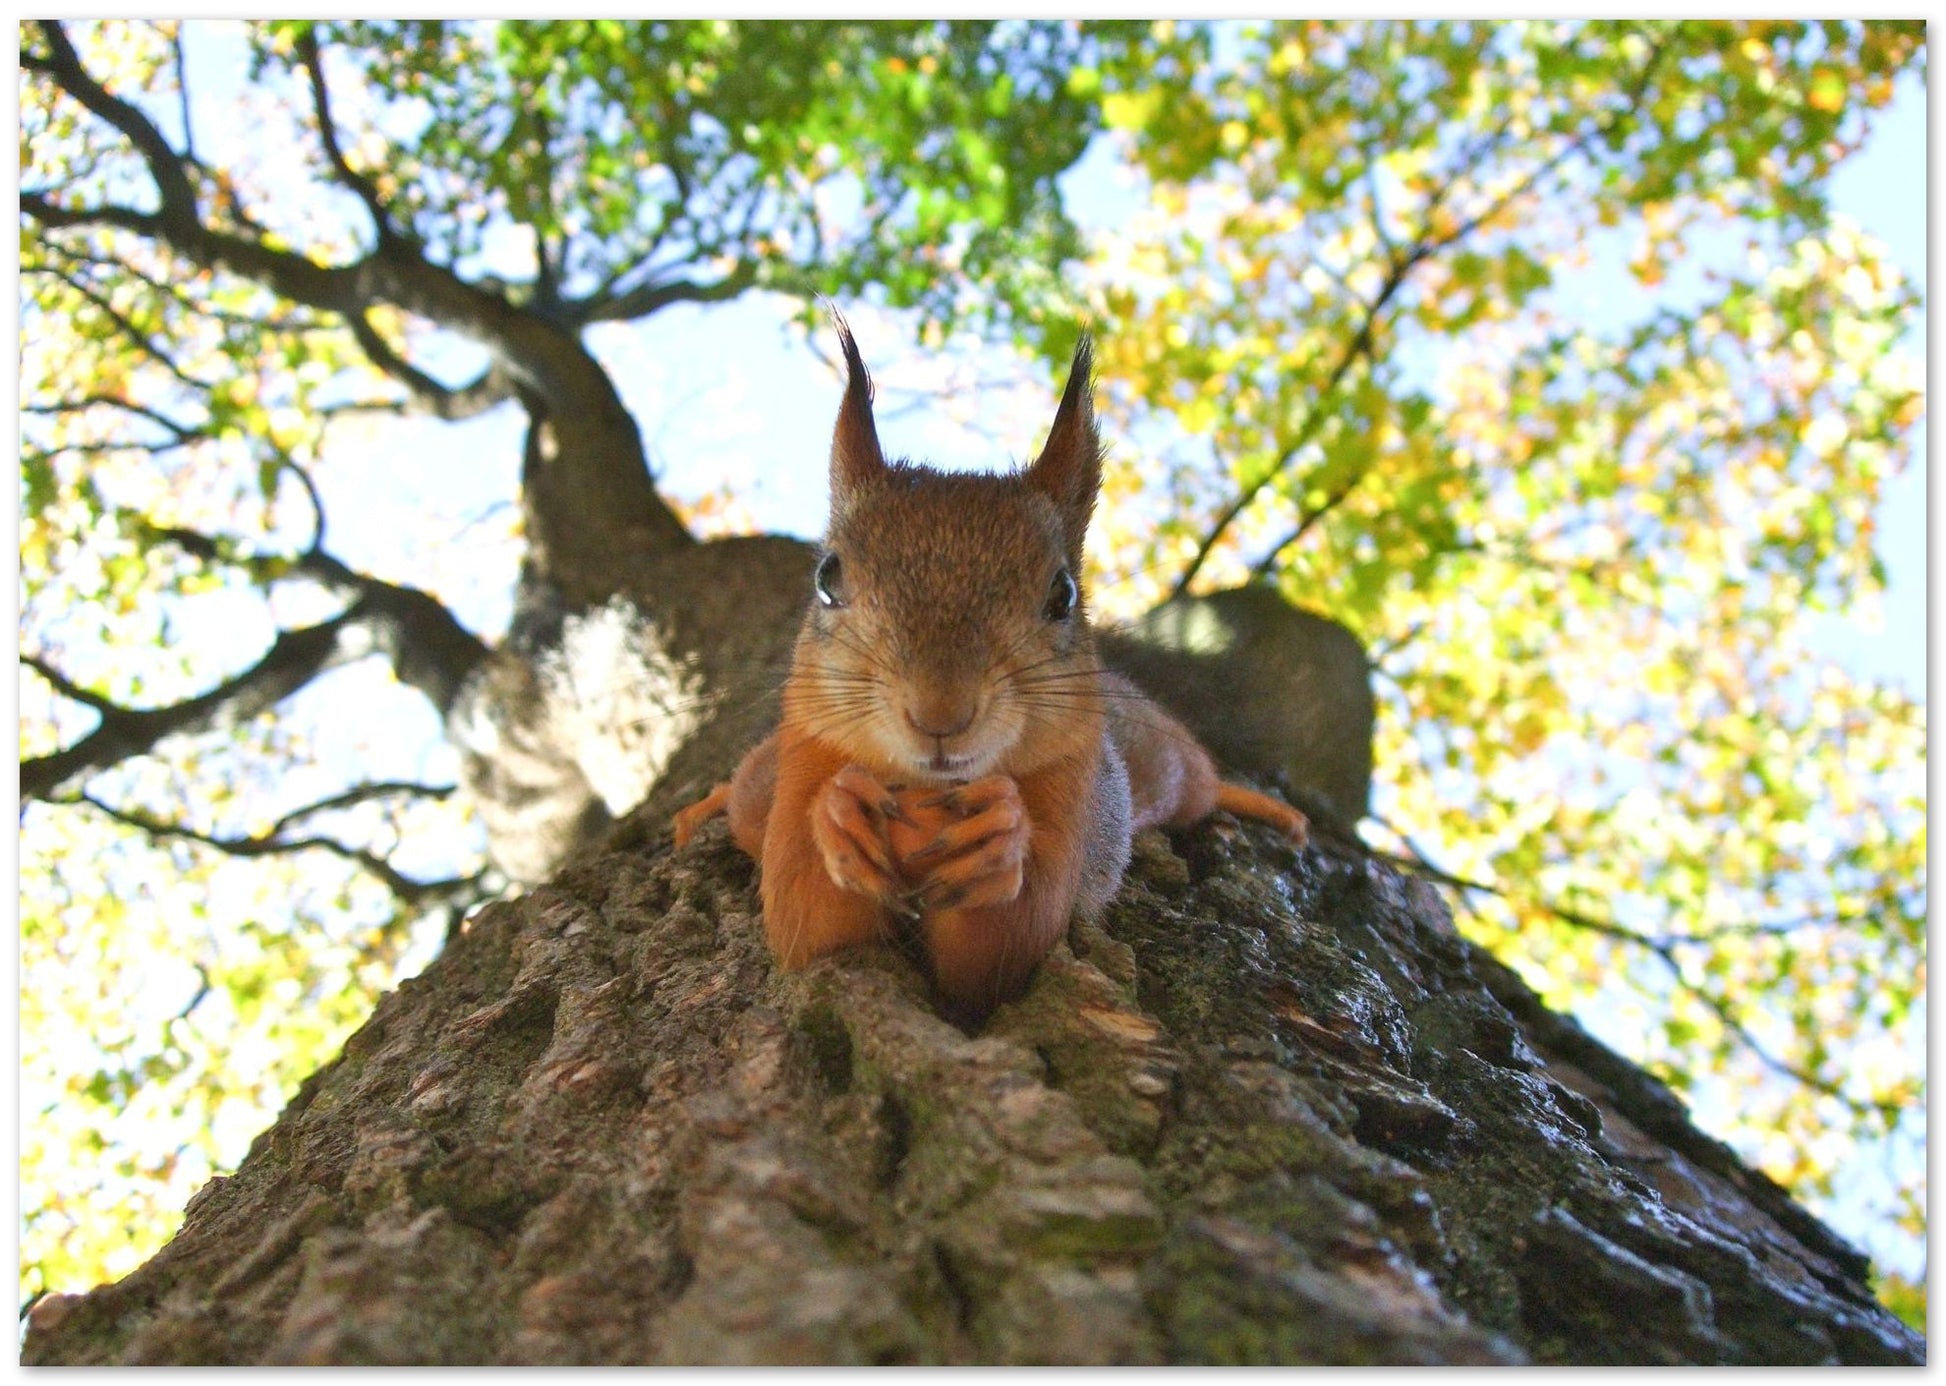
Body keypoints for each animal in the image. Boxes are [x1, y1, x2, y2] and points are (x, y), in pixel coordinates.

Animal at [673, 319, 1307, 1024]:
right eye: (827, 578)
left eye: (1063, 595)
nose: (940, 715)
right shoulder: (805, 760)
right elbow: (807, 923)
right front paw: (839, 812)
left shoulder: (1071, 795)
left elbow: (1003, 951)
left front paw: (1000, 835)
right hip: (765, 780)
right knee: (745, 791)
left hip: (1165, 767)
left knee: (1201, 783)